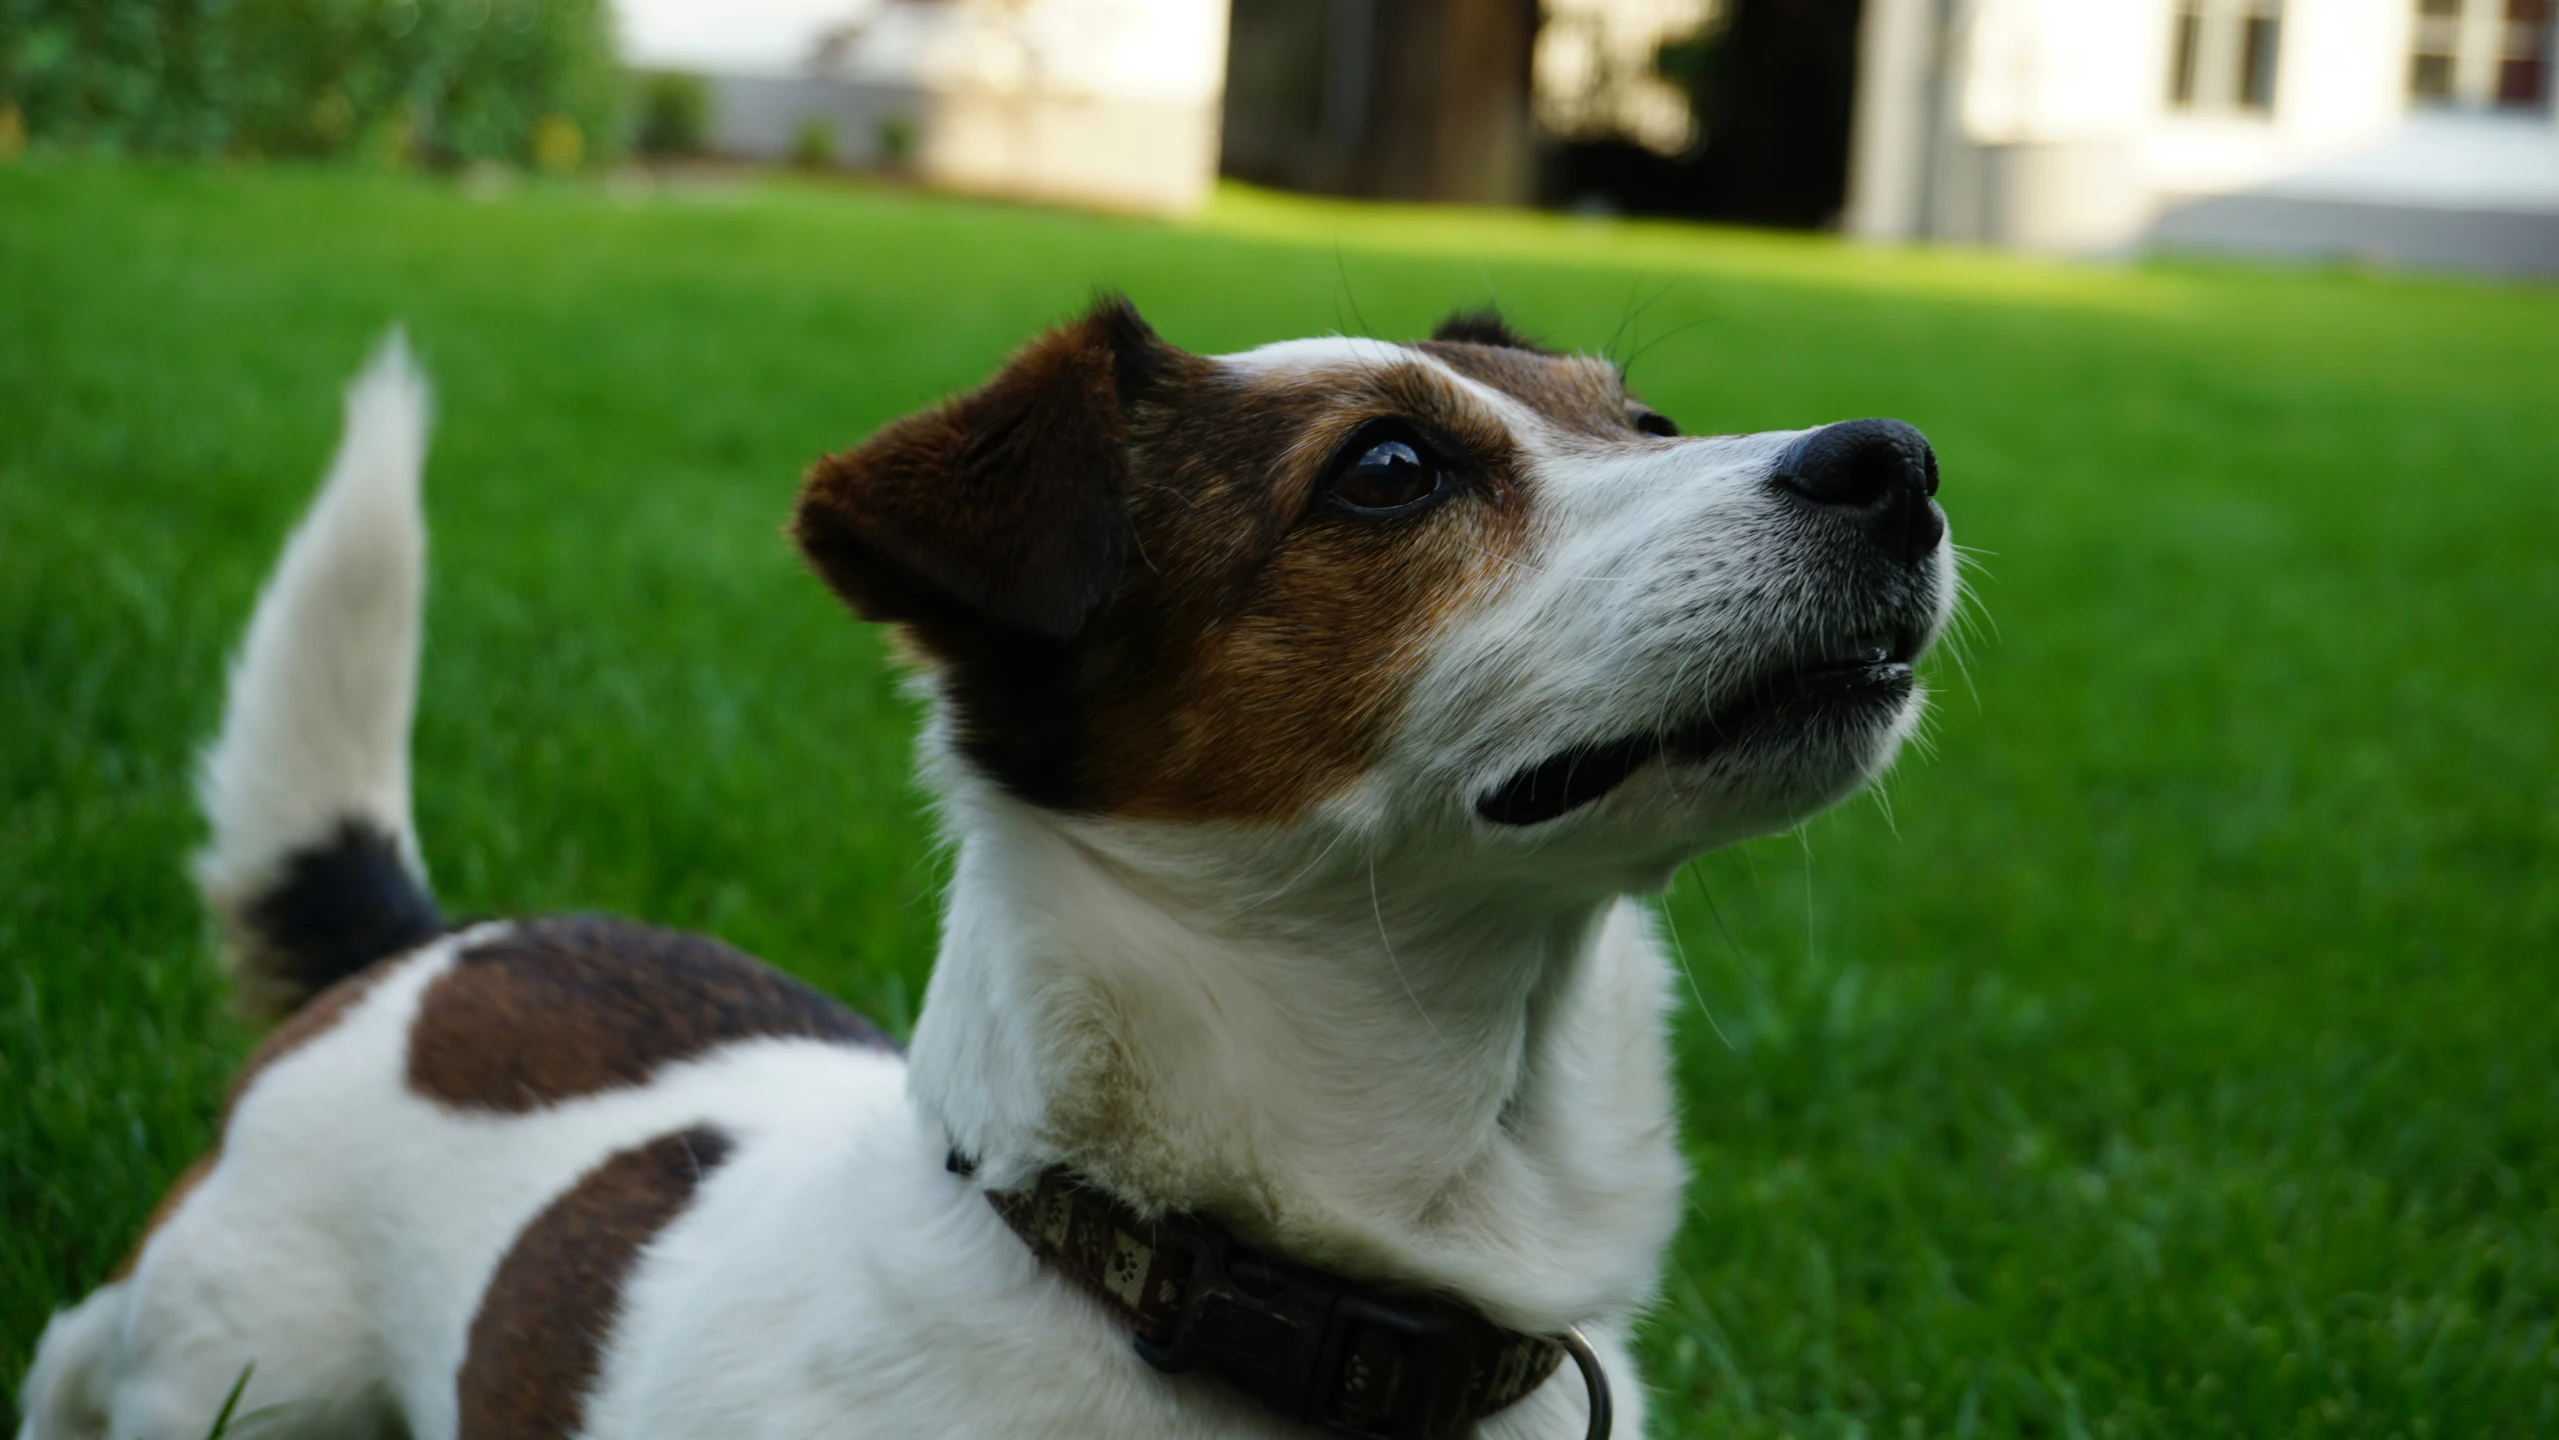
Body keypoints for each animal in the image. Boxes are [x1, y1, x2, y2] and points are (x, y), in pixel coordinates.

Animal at [19, 304, 1944, 1440]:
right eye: (1387, 469)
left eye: (1642, 418)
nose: (1898, 462)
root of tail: (431, 944)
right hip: (240, 1367)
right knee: (88, 1349)